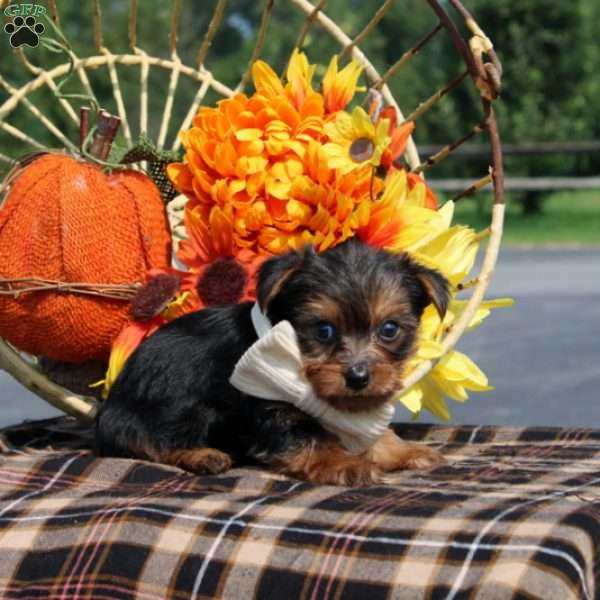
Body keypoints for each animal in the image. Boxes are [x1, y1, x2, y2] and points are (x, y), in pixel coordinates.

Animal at [95, 237, 450, 486]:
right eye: (323, 330)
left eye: (389, 329)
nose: (359, 377)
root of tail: (109, 407)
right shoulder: (269, 409)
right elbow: (309, 438)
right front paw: (344, 463)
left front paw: (402, 449)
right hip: (176, 404)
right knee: (142, 438)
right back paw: (203, 455)